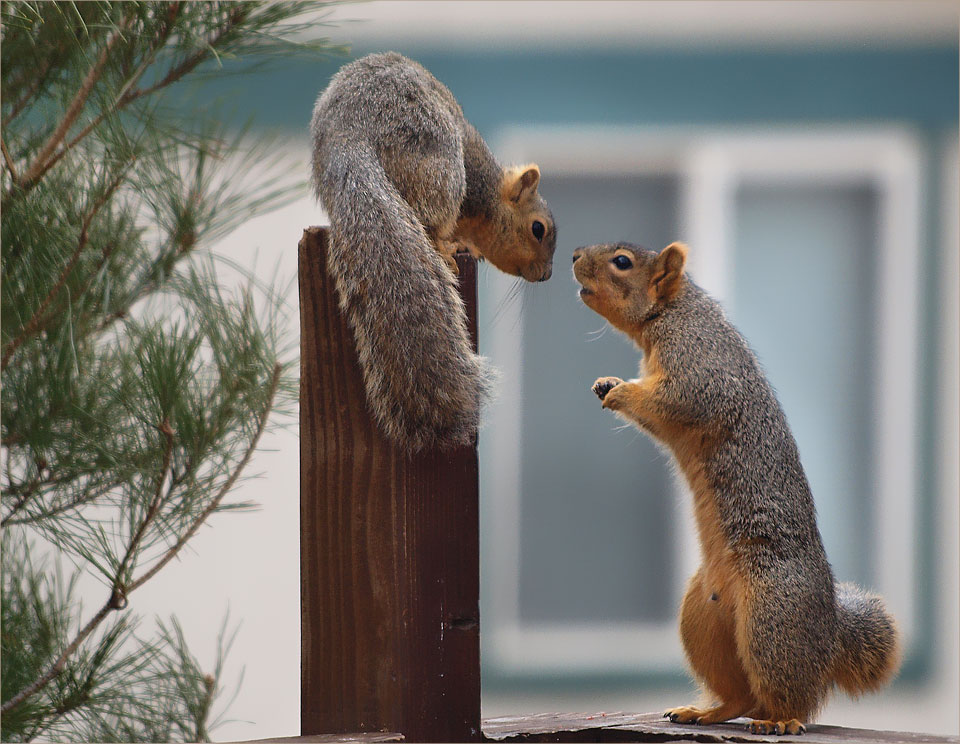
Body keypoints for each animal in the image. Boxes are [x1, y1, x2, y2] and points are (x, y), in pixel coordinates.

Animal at [312, 52, 560, 450]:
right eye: (538, 229)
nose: (547, 274)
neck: (491, 199)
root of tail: (348, 137)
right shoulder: (471, 185)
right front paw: (462, 243)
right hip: (437, 161)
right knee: (429, 212)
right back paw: (445, 245)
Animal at [572, 243, 904, 732]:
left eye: (622, 262)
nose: (574, 256)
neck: (672, 314)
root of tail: (829, 634)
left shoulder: (700, 368)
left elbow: (680, 399)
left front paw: (620, 391)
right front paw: (606, 385)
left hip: (772, 618)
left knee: (789, 693)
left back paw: (781, 721)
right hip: (702, 618)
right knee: (742, 695)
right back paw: (705, 710)